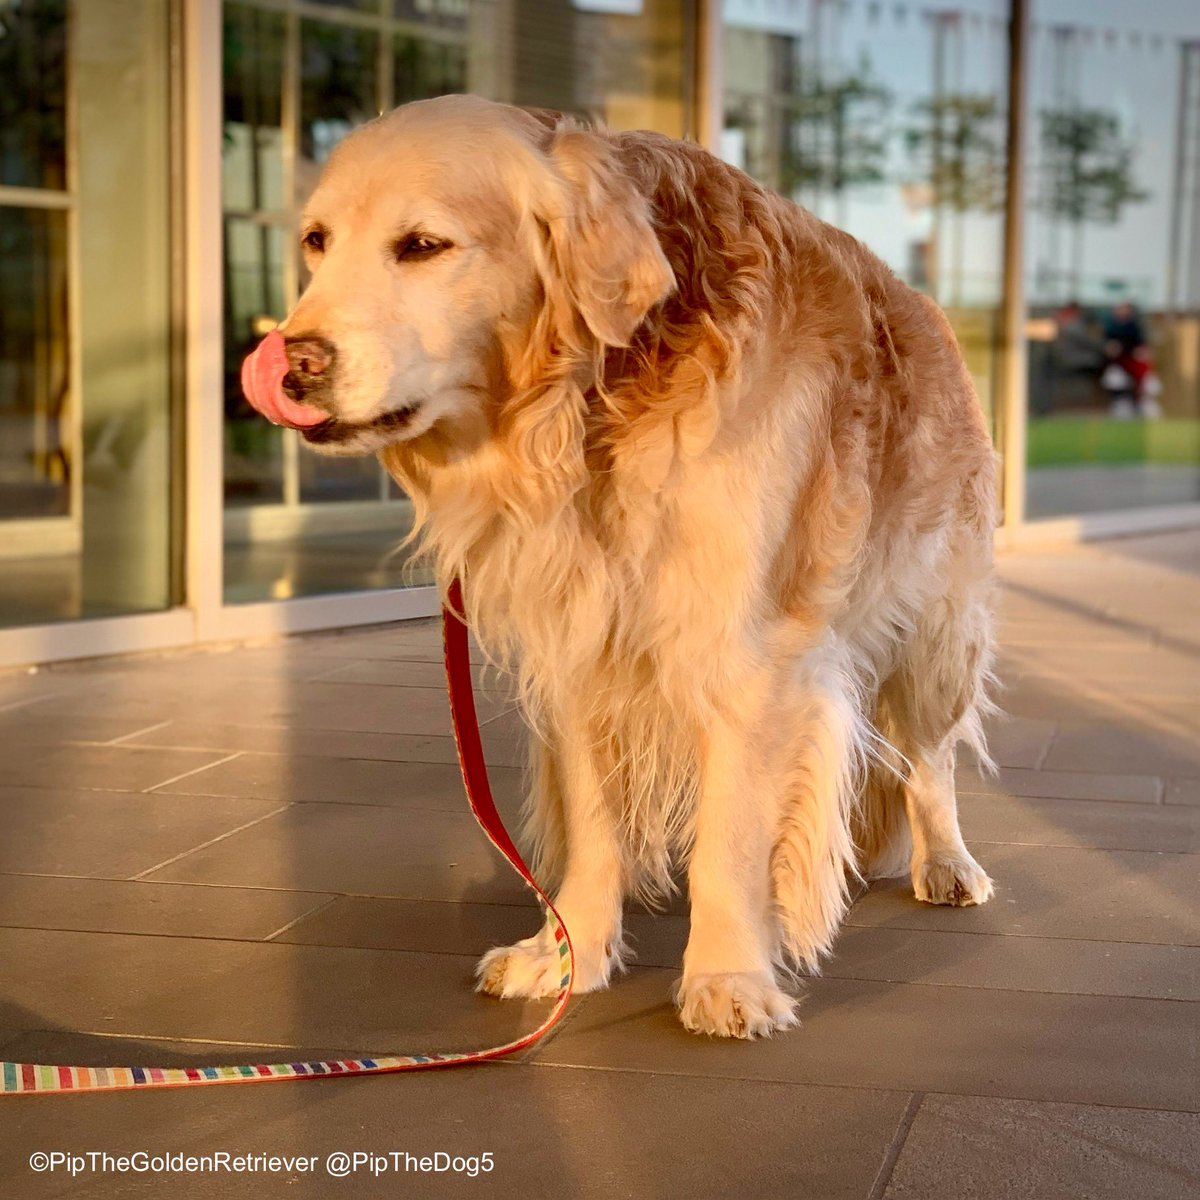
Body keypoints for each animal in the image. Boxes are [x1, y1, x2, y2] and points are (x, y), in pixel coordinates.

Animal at [241, 93, 993, 1036]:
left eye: (421, 245)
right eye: (315, 241)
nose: (291, 366)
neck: (594, 406)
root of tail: (929, 307)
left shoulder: (747, 654)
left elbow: (730, 844)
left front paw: (727, 976)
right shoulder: (579, 647)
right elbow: (596, 829)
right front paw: (569, 955)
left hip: (934, 630)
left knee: (931, 757)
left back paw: (949, 862)